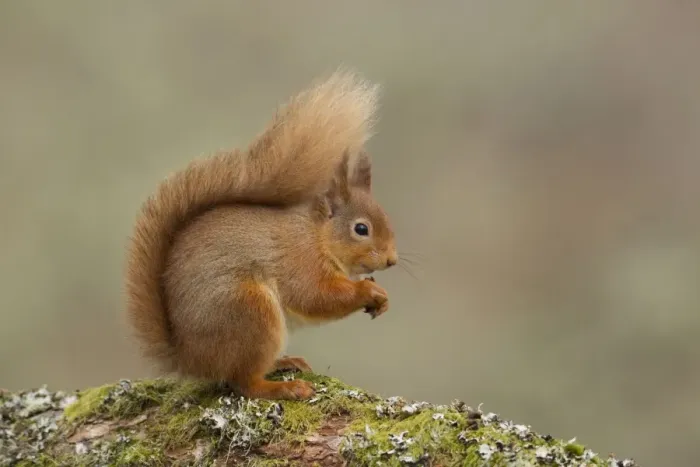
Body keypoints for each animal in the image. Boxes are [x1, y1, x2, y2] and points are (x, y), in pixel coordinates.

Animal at [124, 70, 398, 401]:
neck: (317, 236)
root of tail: (190, 359)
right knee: (244, 383)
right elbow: (316, 297)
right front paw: (368, 291)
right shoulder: (300, 262)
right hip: (250, 313)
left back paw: (284, 362)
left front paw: (382, 300)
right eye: (361, 229)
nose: (392, 260)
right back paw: (284, 387)